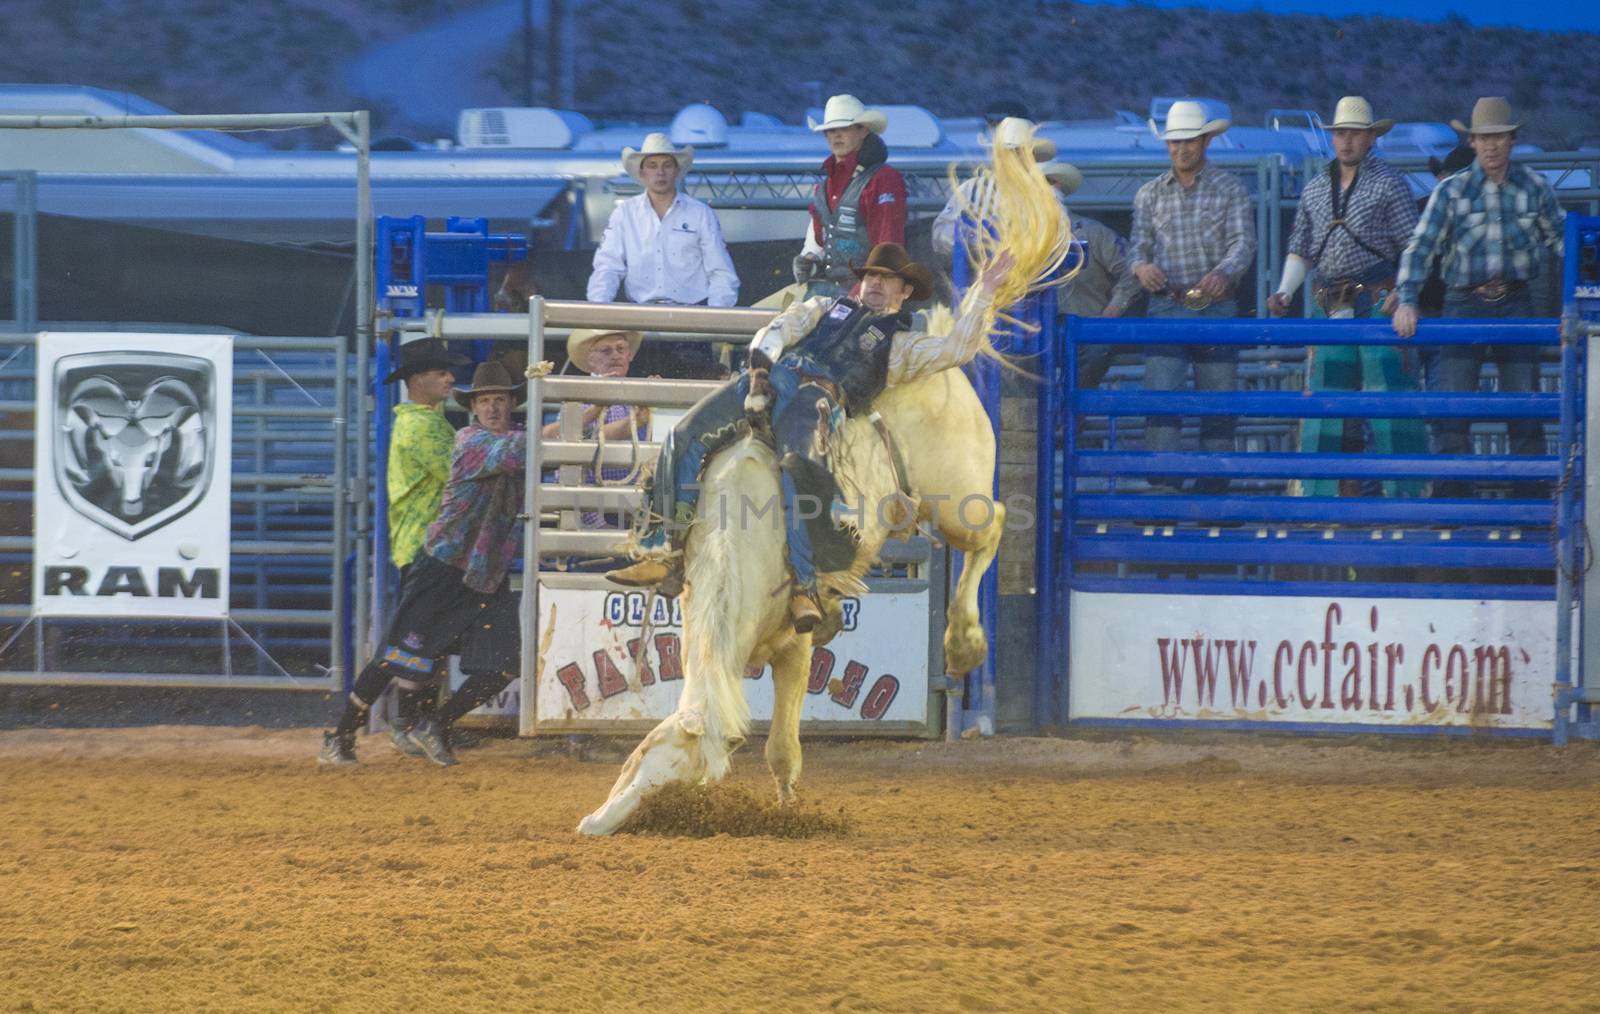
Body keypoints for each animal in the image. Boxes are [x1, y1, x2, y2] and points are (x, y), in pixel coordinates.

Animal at [576, 367, 998, 831]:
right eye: (639, 758)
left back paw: (963, 644)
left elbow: (781, 748)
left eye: (673, 787)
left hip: (959, 501)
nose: (592, 825)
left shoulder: (795, 646)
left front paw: (788, 811)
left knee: (993, 525)